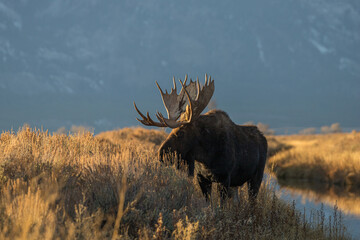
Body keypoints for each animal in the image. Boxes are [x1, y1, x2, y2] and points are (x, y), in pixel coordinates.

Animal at [134, 74, 268, 202]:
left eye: (181, 133)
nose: (161, 153)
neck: (206, 157)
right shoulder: (202, 179)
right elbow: (209, 204)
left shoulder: (224, 178)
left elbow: (221, 206)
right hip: (236, 184)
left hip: (256, 177)